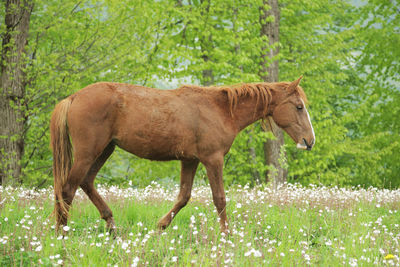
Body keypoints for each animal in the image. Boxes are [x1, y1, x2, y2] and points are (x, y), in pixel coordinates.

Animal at [50, 76, 314, 234]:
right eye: (299, 107)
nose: (309, 141)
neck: (220, 110)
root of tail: (73, 97)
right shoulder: (212, 160)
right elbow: (220, 199)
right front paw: (226, 235)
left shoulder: (190, 160)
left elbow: (183, 197)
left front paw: (160, 227)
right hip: (89, 152)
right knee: (67, 189)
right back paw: (62, 233)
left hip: (105, 150)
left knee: (86, 182)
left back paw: (111, 226)